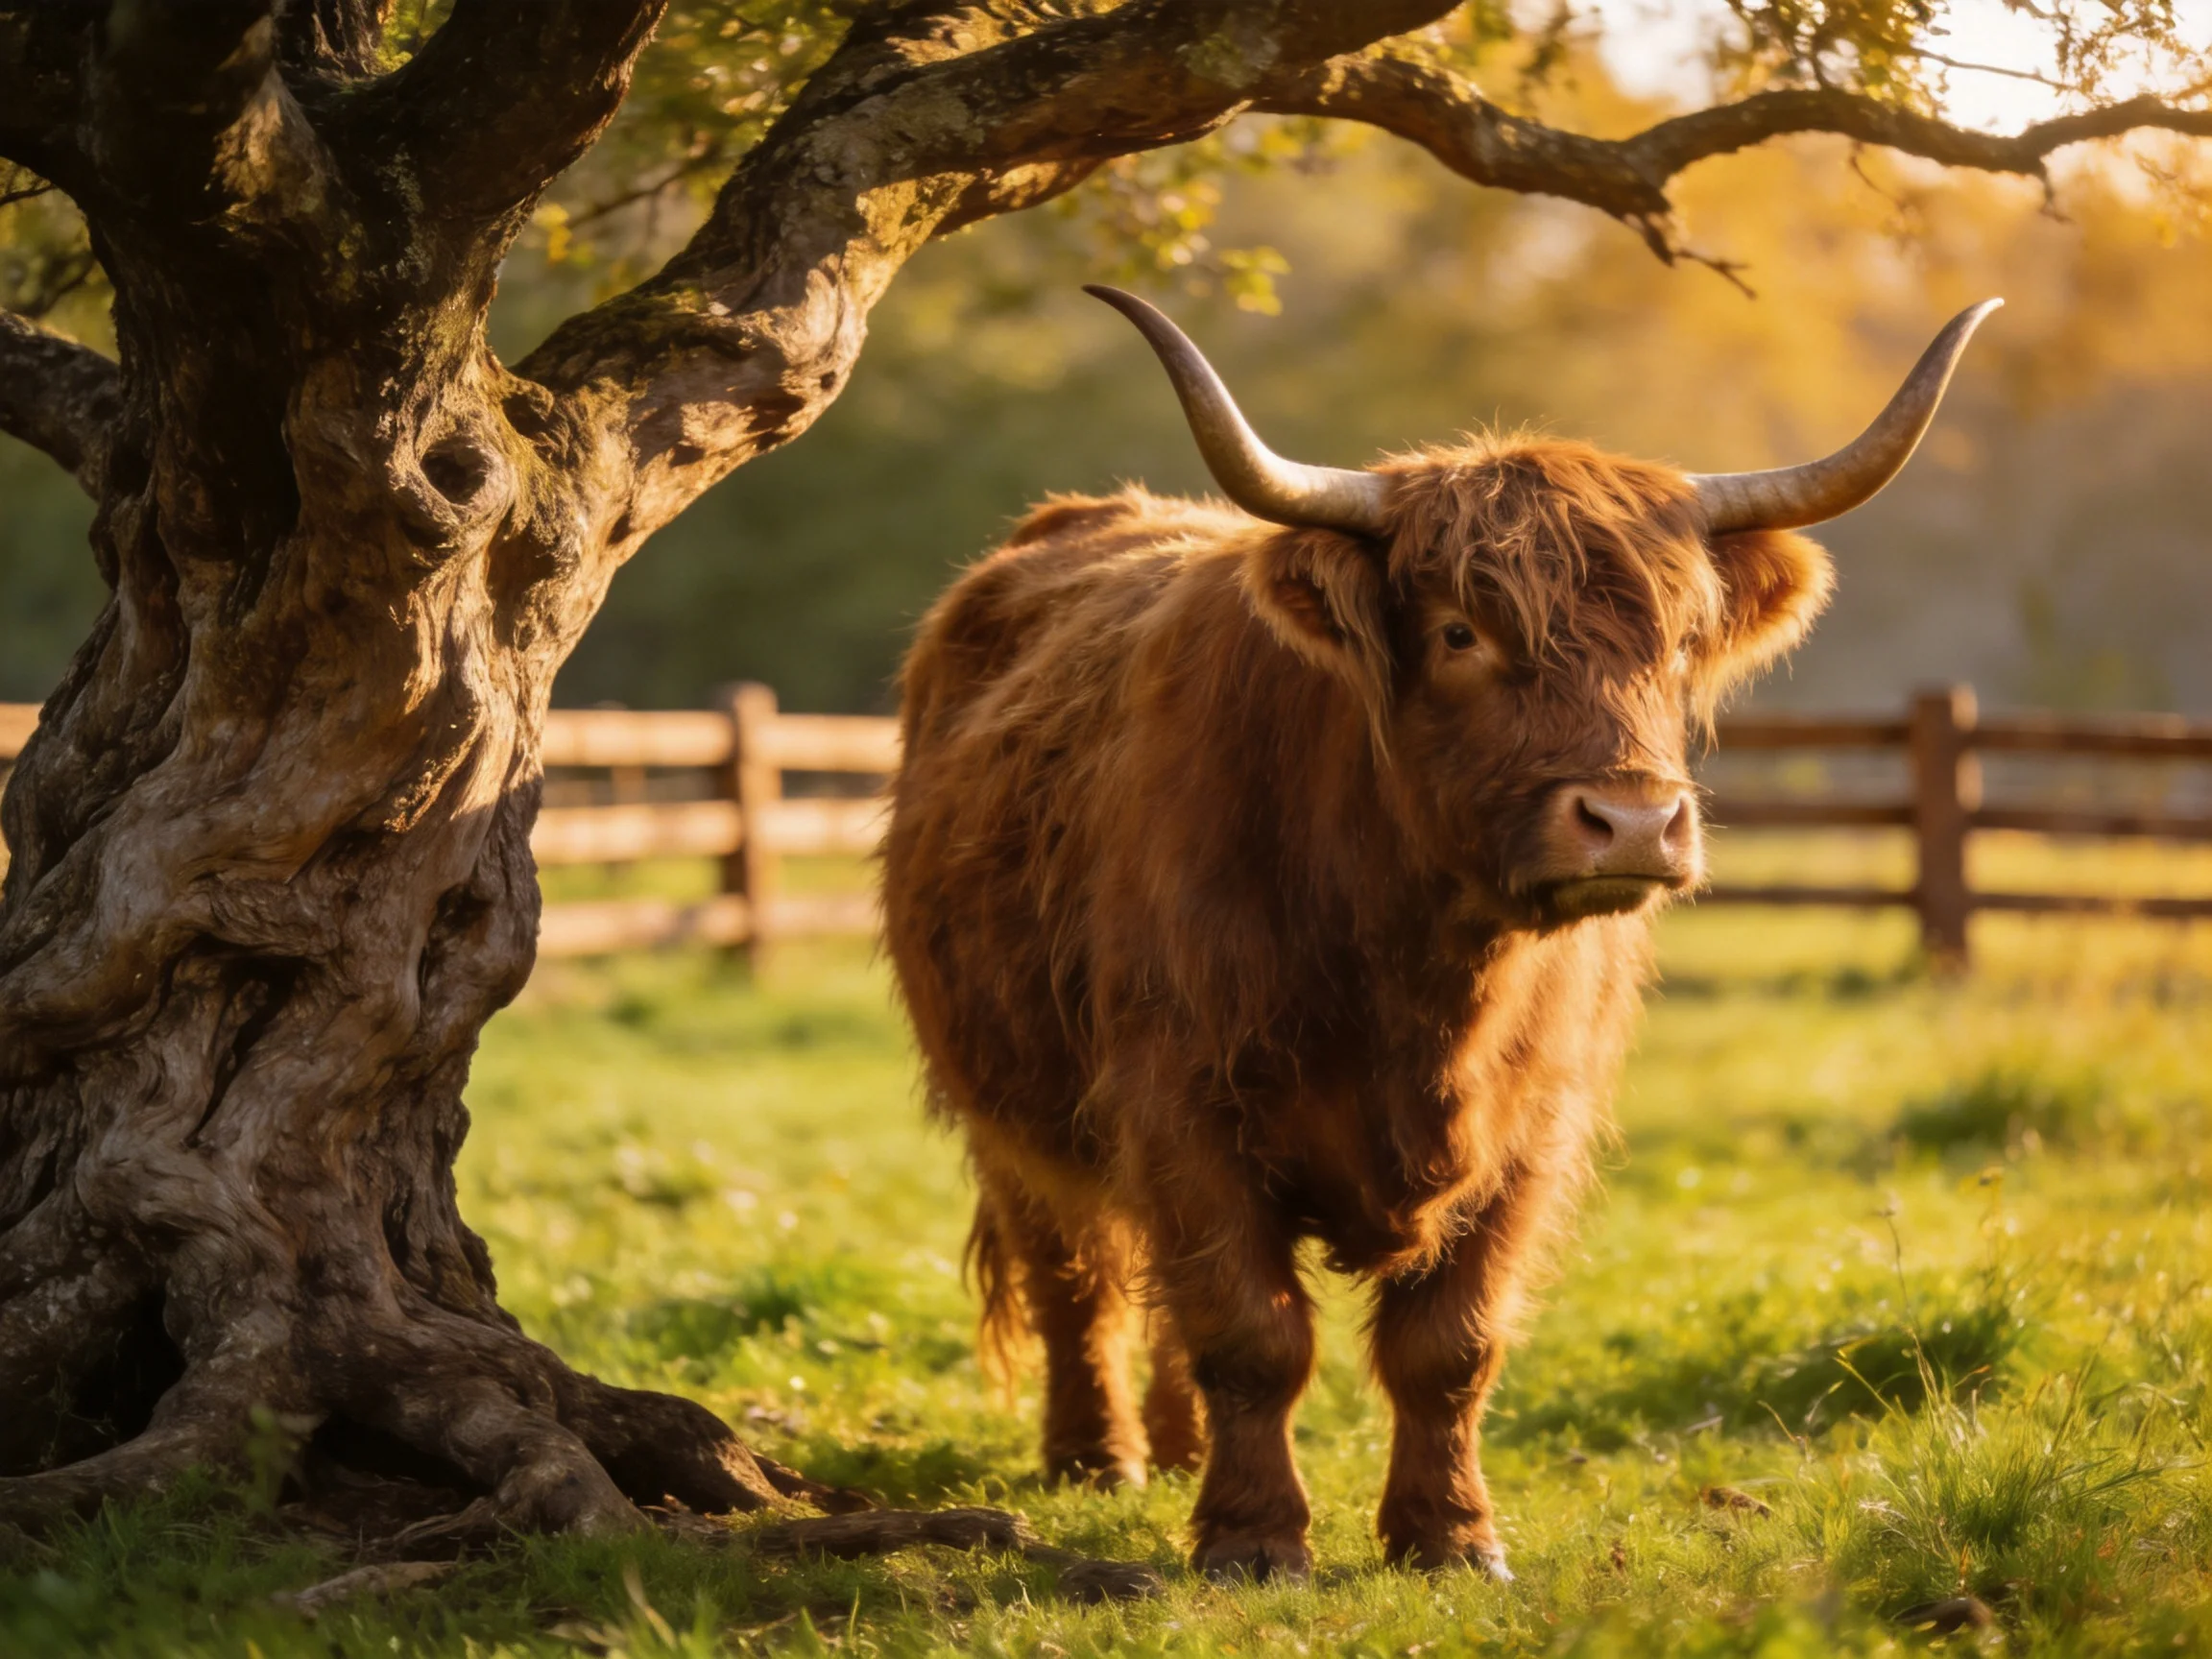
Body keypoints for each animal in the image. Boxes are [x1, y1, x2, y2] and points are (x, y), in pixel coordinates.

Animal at [881, 286, 1997, 1582]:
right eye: (1462, 633)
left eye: (1679, 639)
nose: (1633, 822)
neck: (1417, 971)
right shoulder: (1180, 1100)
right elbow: (1250, 1331)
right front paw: (1252, 1538)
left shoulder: (1532, 1127)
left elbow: (1449, 1345)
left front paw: (1450, 1536)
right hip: (1005, 1104)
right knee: (1075, 1274)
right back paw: (1096, 1457)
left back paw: (1171, 1445)